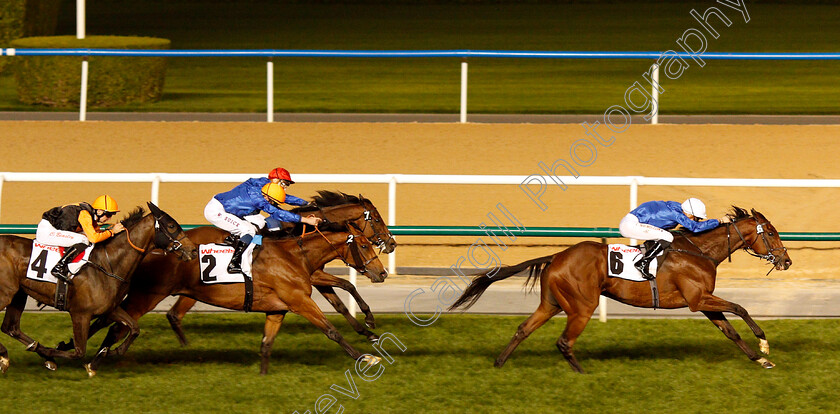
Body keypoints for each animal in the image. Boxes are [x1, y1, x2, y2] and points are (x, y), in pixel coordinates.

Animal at [0, 203, 196, 376]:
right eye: (171, 225)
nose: (193, 250)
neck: (107, 265)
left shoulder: (110, 308)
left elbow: (134, 328)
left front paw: (102, 356)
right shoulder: (80, 314)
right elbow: (79, 351)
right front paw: (51, 354)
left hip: (18, 295)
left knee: (10, 328)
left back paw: (11, 355)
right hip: (6, 294)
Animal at [85, 223, 388, 376]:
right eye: (364, 244)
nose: (382, 272)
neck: (295, 255)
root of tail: (151, 250)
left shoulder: (278, 309)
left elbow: (266, 344)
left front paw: (263, 377)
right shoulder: (300, 301)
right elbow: (332, 331)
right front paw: (365, 356)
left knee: (111, 322)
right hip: (146, 296)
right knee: (117, 325)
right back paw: (95, 360)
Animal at [167, 192, 398, 346]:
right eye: (377, 219)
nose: (391, 243)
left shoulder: (312, 275)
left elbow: (339, 304)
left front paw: (367, 332)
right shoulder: (314, 275)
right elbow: (347, 285)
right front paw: (369, 319)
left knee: (174, 315)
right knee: (175, 314)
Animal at [450, 209, 792, 374]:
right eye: (771, 232)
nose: (787, 260)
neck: (700, 251)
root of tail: (557, 256)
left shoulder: (703, 301)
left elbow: (730, 331)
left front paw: (760, 360)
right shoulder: (698, 299)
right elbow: (741, 308)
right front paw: (764, 345)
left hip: (551, 303)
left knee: (523, 329)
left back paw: (499, 364)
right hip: (581, 306)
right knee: (564, 341)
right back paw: (582, 374)